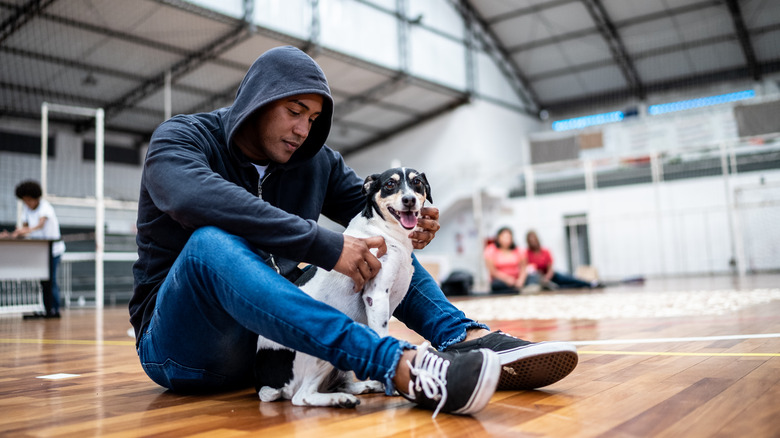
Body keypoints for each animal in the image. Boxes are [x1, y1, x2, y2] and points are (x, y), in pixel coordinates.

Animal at [256, 167, 436, 408]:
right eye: (389, 184)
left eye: (417, 182)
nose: (409, 200)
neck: (386, 231)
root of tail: (266, 383)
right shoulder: (376, 296)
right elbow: (383, 337)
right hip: (321, 353)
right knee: (301, 396)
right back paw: (340, 399)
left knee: (341, 383)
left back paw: (366, 386)